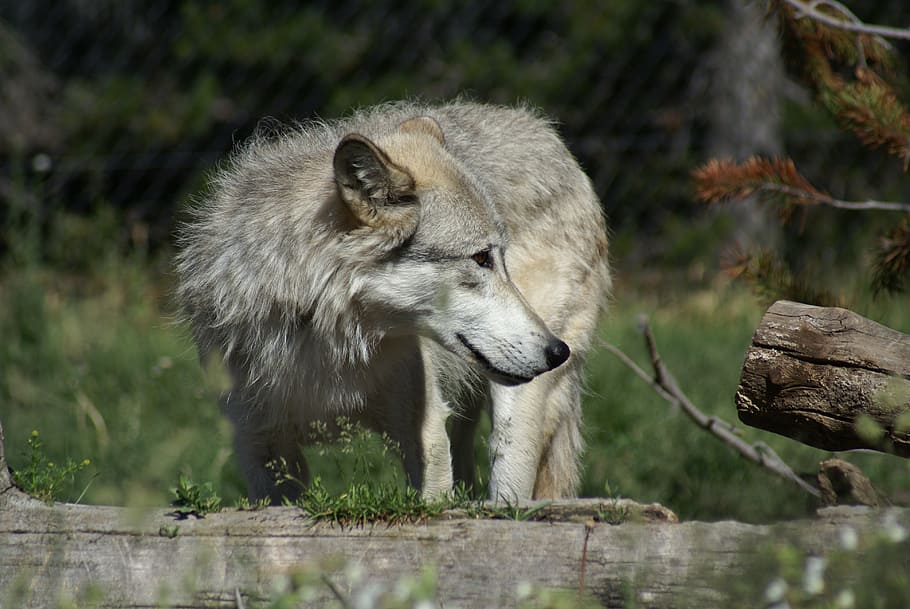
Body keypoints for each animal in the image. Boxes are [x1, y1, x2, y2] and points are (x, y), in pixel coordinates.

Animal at [176, 100, 610, 503]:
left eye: (500, 257)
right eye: (482, 258)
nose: (558, 351)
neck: (326, 340)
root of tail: (548, 134)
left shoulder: (425, 433)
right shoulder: (261, 449)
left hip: (516, 410)